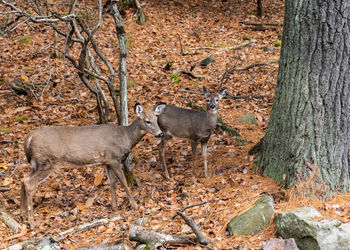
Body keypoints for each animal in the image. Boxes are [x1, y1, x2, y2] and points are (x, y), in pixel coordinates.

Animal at [20, 102, 165, 228]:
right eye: (147, 121)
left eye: (156, 119)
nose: (160, 133)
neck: (126, 138)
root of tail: (28, 139)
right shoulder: (114, 158)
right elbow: (123, 182)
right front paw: (134, 205)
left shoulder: (107, 161)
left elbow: (112, 183)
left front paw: (114, 206)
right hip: (49, 161)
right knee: (29, 182)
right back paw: (32, 222)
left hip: (38, 164)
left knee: (24, 178)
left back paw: (22, 215)